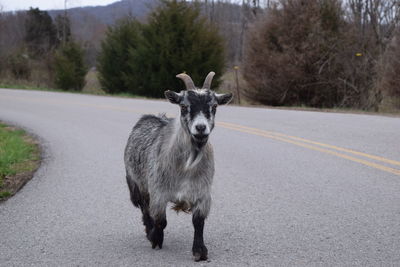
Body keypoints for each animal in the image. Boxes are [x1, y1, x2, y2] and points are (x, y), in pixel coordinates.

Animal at [123, 71, 233, 262]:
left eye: (214, 106)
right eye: (183, 106)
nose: (201, 128)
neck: (186, 166)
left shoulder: (202, 193)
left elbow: (198, 222)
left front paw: (199, 251)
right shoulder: (158, 192)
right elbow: (160, 220)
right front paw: (155, 238)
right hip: (137, 182)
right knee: (144, 207)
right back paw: (148, 229)